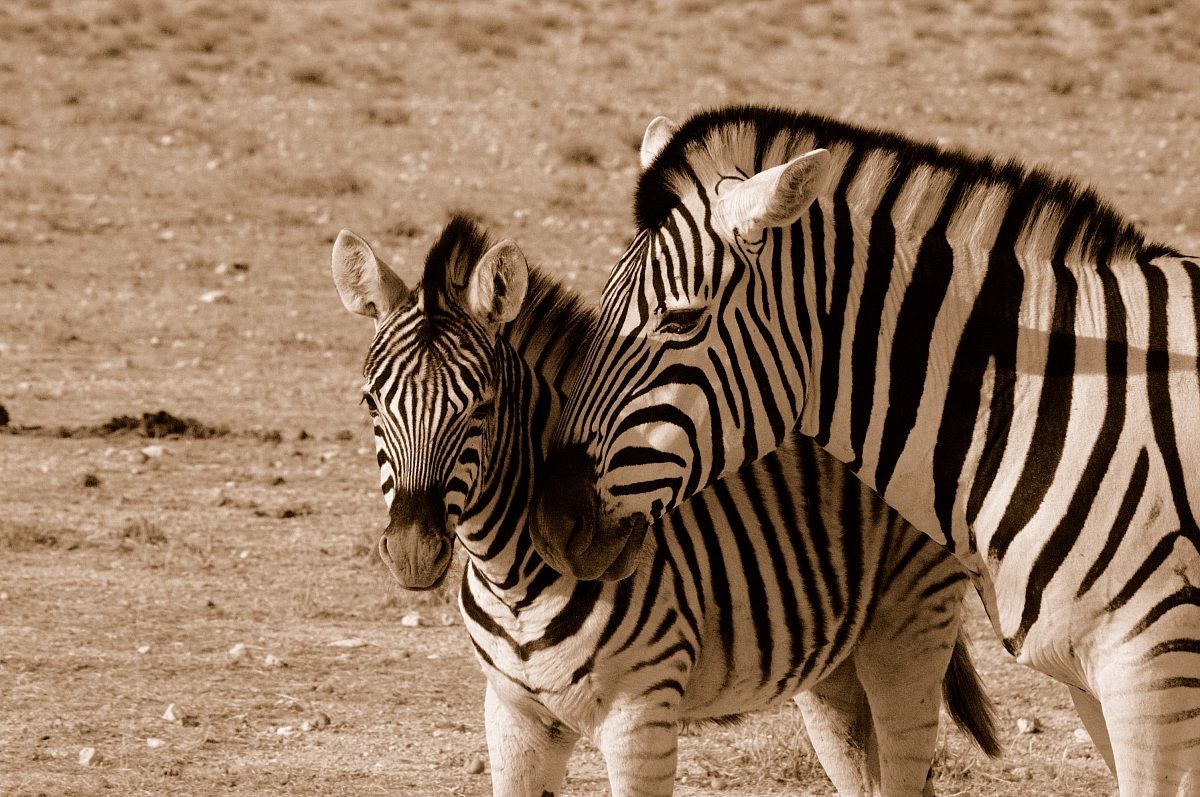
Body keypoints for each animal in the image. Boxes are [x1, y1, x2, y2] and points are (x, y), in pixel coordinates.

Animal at [331, 216, 1000, 796]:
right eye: (369, 402)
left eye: (482, 408)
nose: (413, 551)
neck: (513, 579)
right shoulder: (513, 718)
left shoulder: (641, 716)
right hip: (835, 666)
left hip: (909, 626)